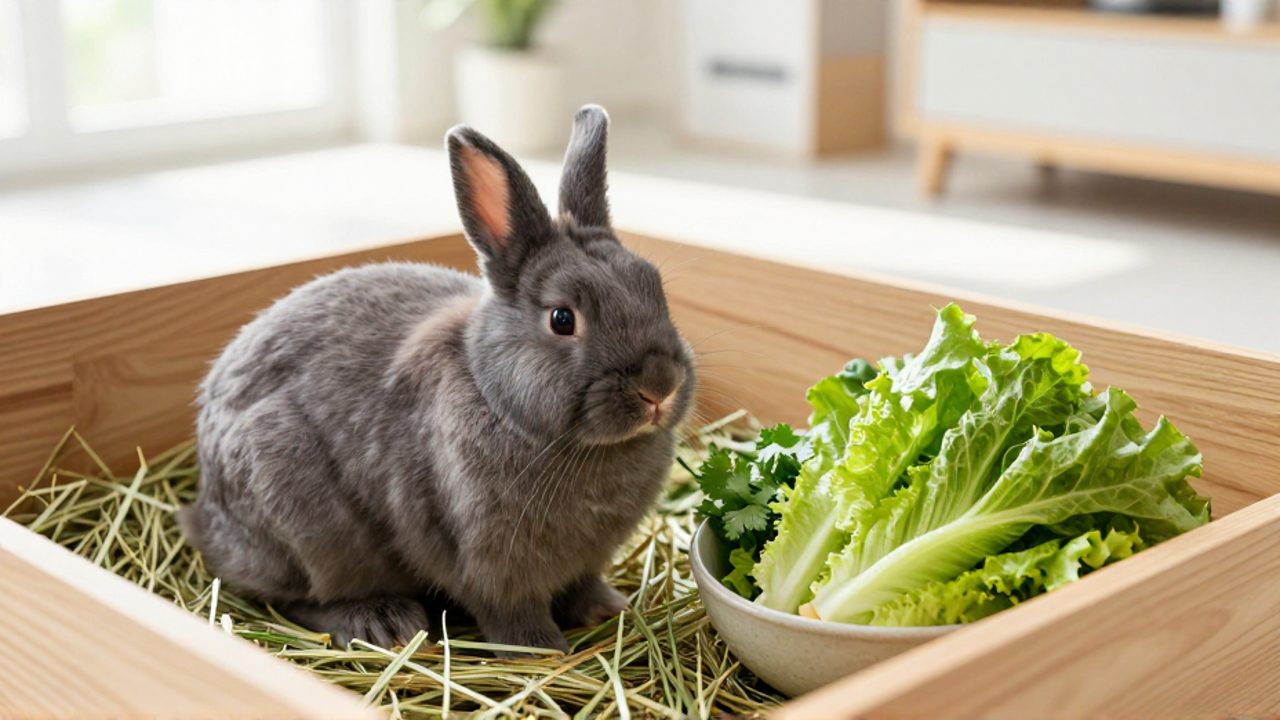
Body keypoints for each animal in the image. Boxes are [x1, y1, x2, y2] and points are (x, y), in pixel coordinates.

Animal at [178, 105, 696, 653]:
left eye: (653, 285)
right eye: (562, 318)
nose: (660, 387)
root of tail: (204, 510)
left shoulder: (584, 559)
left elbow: (582, 582)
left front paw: (605, 608)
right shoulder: (485, 562)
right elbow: (509, 610)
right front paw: (541, 648)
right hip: (301, 525)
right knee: (296, 598)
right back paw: (382, 622)